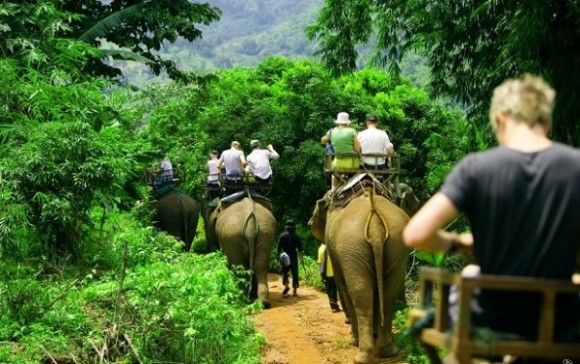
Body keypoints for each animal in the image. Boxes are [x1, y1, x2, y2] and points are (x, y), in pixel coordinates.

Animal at [310, 175, 410, 362]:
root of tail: (375, 219)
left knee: (360, 294)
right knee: (388, 293)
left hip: (351, 247)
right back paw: (387, 351)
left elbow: (341, 283)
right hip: (397, 245)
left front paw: (353, 337)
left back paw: (362, 355)